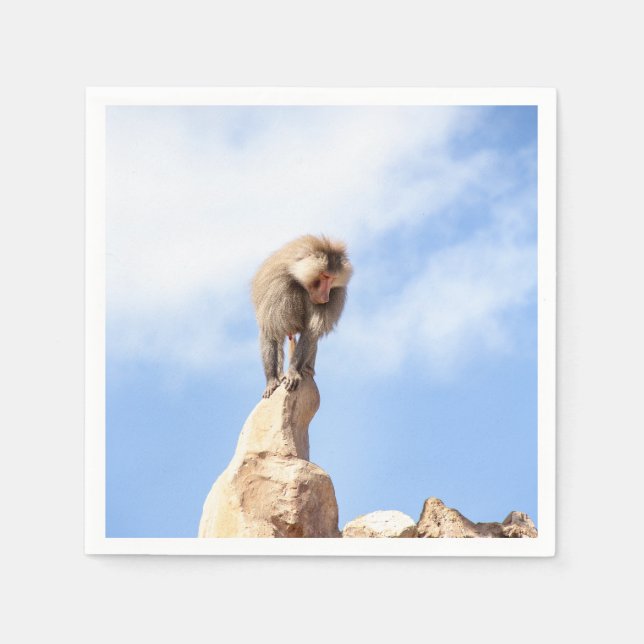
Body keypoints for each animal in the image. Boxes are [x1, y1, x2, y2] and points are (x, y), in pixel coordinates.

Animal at [251, 235, 353, 398]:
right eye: (325, 276)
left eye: (332, 279)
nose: (325, 298)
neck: (299, 280)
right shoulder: (276, 288)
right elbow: (270, 330)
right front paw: (271, 381)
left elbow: (311, 332)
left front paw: (293, 373)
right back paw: (280, 375)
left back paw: (306, 370)